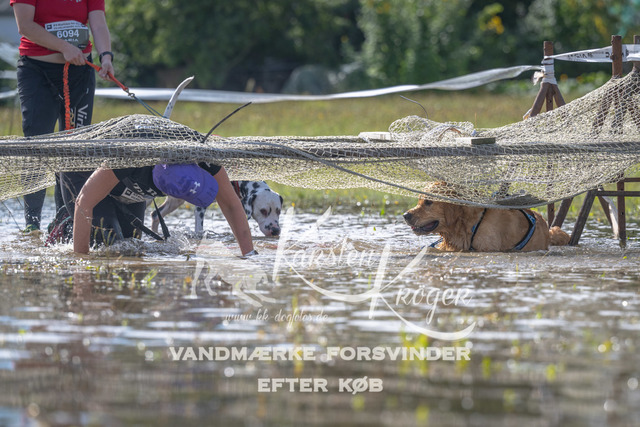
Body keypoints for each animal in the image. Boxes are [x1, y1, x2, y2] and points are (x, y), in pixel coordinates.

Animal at [152, 180, 283, 237]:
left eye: (279, 211)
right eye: (263, 211)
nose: (276, 231)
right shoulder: (200, 208)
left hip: (175, 202)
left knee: (155, 215)